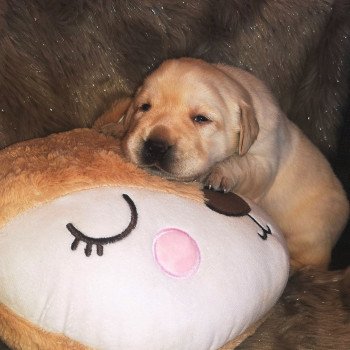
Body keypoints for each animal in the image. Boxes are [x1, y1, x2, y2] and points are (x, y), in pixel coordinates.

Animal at [104, 57, 350, 270]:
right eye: (144, 107)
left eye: (201, 119)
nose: (156, 146)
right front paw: (116, 128)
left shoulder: (264, 162)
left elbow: (242, 162)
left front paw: (219, 171)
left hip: (312, 234)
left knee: (314, 262)